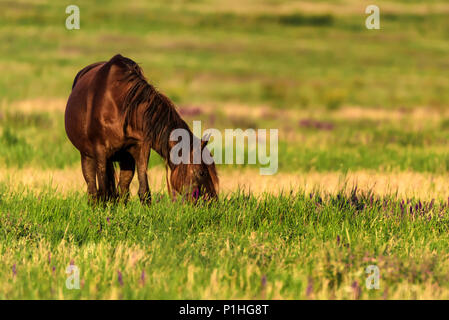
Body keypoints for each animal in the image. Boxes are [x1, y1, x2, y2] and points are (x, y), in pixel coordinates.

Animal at [65, 53, 219, 204]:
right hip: (87, 155)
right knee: (93, 189)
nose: (212, 203)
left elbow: (144, 191)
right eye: (202, 172)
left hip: (125, 158)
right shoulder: (100, 152)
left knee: (122, 189)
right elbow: (102, 192)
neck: (121, 107)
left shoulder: (140, 148)